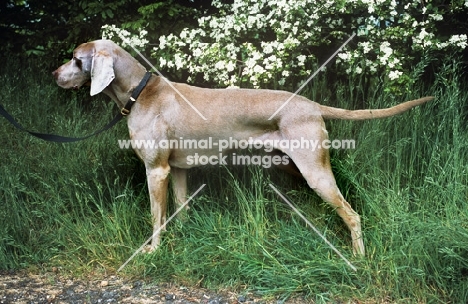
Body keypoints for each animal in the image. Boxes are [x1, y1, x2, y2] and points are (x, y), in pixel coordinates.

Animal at [53, 39, 434, 255]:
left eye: (75, 59)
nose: (54, 75)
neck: (140, 92)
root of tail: (311, 104)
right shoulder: (175, 169)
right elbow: (179, 208)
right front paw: (184, 238)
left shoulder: (155, 169)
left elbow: (155, 217)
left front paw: (152, 252)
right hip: (296, 167)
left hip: (314, 170)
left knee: (352, 214)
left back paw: (357, 257)